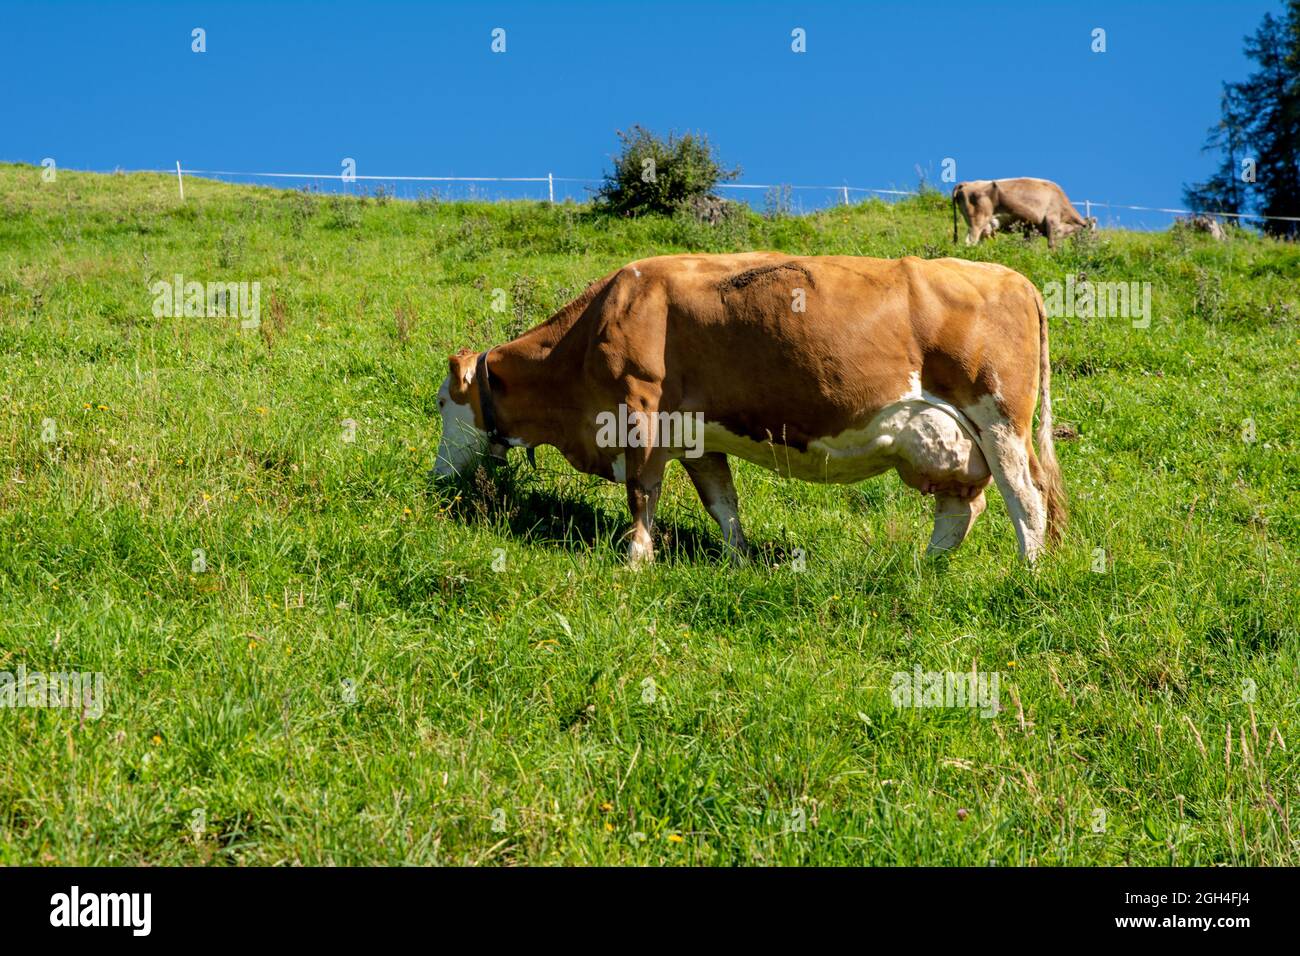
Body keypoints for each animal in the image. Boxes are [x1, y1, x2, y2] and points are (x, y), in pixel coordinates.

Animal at [436, 253, 1066, 564]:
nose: (437, 479)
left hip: (999, 420)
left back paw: (1027, 574)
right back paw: (921, 569)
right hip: (947, 436)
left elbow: (642, 495)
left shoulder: (638, 415)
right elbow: (723, 503)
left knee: (1027, 499)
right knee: (961, 507)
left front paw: (635, 561)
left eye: (441, 403)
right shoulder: (695, 434)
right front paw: (738, 561)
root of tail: (1012, 276)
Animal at [953, 178, 1097, 250]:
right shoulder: (1052, 221)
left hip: (984, 226)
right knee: (970, 241)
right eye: (1093, 233)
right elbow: (1052, 245)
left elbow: (1027, 247)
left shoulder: (1031, 229)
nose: (1094, 249)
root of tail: (964, 183)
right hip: (978, 221)